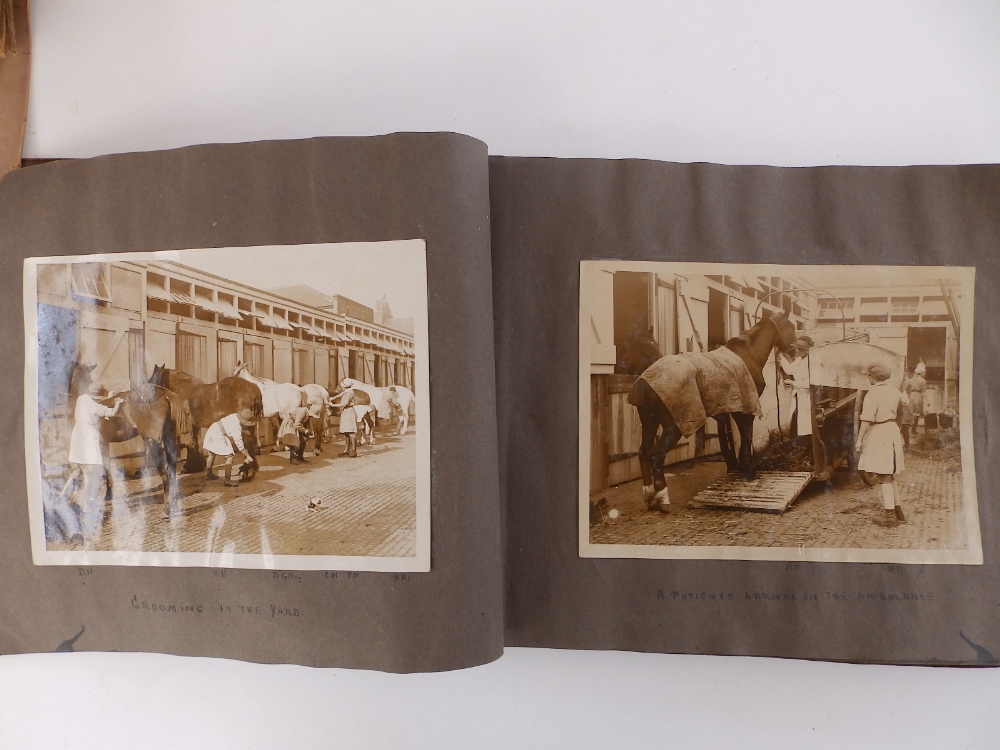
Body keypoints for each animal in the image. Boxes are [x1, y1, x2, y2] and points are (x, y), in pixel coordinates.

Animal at [66, 366, 193, 520]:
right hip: (169, 437)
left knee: (165, 474)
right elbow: (106, 466)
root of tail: (164, 393)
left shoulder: (100, 444)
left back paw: (167, 510)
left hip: (152, 442)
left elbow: (103, 468)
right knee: (172, 469)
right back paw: (174, 505)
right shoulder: (104, 443)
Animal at [616, 312, 796, 516]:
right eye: (791, 327)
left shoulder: (731, 411)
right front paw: (748, 470)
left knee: (644, 453)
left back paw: (649, 497)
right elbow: (746, 436)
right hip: (673, 427)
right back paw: (663, 499)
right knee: (657, 454)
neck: (748, 354)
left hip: (649, 422)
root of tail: (647, 382)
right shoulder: (746, 409)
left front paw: (737, 467)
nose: (796, 349)